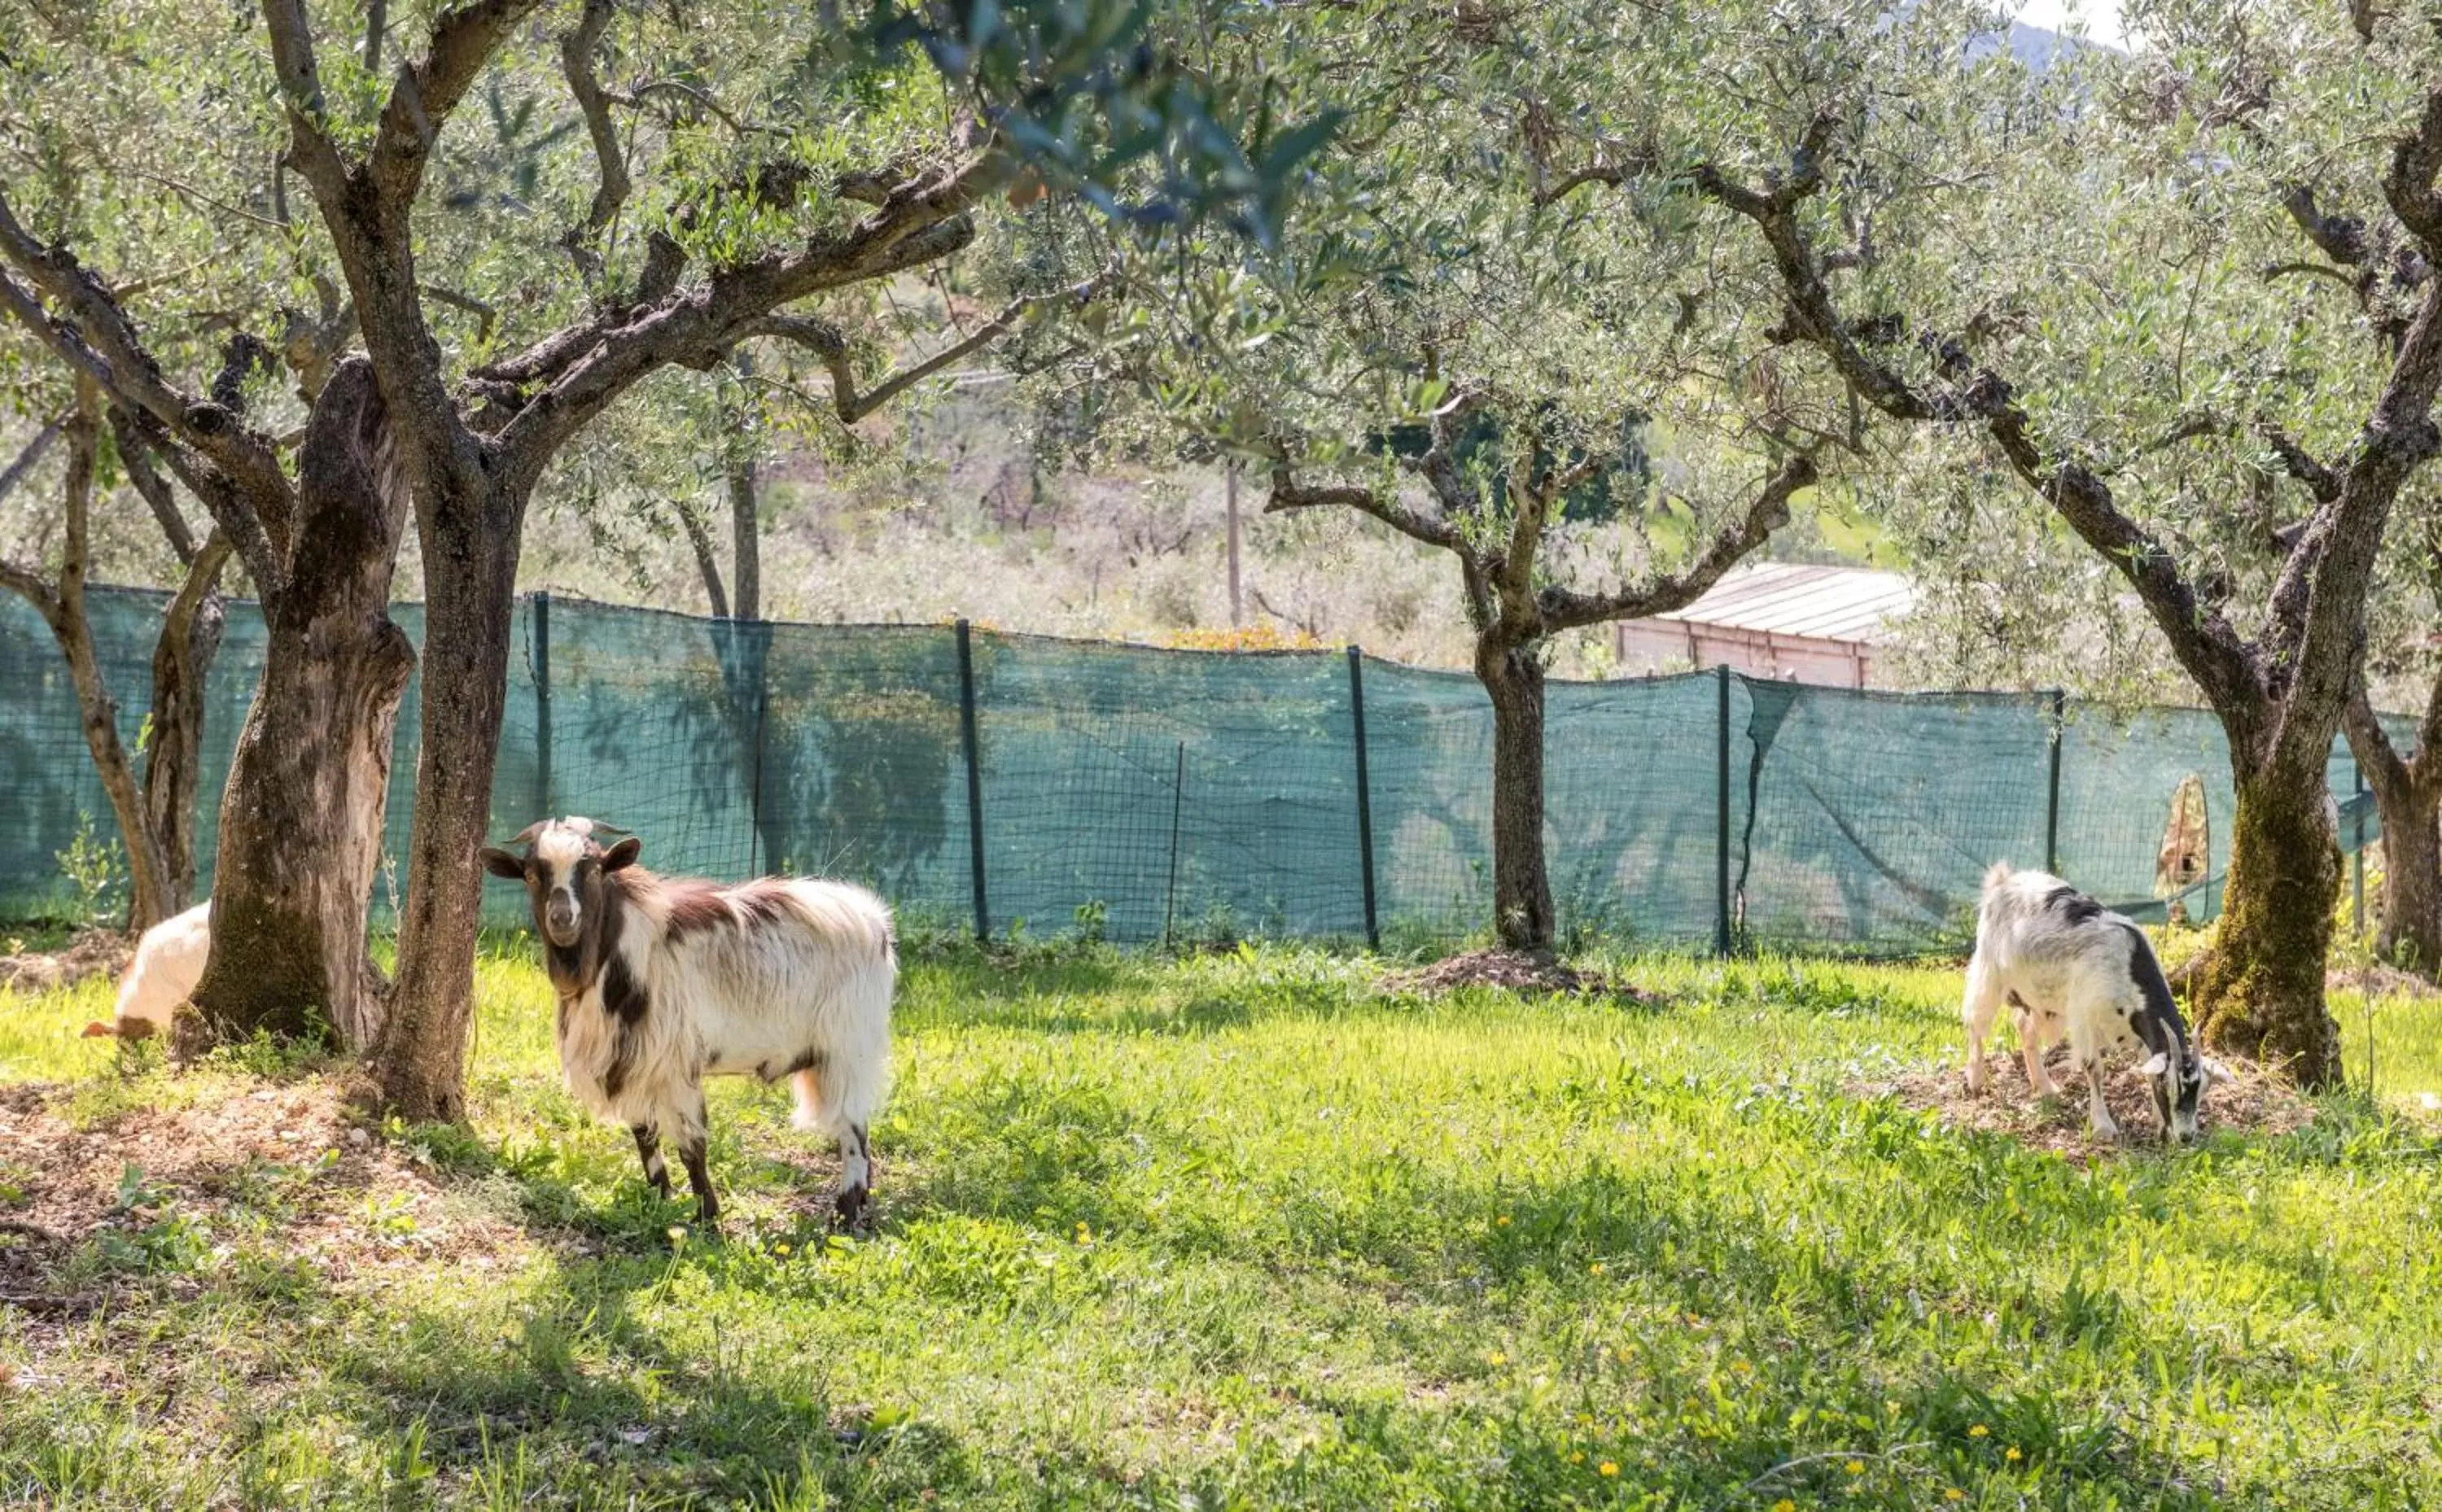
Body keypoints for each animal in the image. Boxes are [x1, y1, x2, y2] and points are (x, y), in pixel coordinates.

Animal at [479, 820, 899, 1226]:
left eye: (595, 869)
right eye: (531, 875)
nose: (562, 919)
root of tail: (876, 922)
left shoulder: (673, 1064)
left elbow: (692, 1147)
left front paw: (707, 1218)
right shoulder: (633, 1063)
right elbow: (644, 1137)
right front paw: (660, 1200)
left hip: (848, 1047)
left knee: (853, 1132)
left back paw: (844, 1215)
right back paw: (863, 1202)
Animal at [1954, 869, 2227, 1143]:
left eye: (2202, 1089)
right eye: (2166, 1084)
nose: (2186, 1136)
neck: (2126, 967)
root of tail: (2004, 880)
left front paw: (2160, 1122)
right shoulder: (2084, 1016)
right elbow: (2093, 1068)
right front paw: (2103, 1126)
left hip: (2045, 1000)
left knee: (2025, 1027)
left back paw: (2045, 1086)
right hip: (1990, 972)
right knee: (1976, 1022)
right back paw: (1976, 1079)